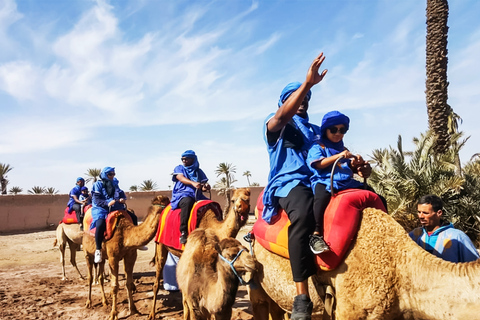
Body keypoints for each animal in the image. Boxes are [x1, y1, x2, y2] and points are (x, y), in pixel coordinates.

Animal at [147, 188, 251, 320]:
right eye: (233, 200)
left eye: (247, 198)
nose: (240, 208)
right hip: (161, 245)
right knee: (157, 280)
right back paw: (152, 314)